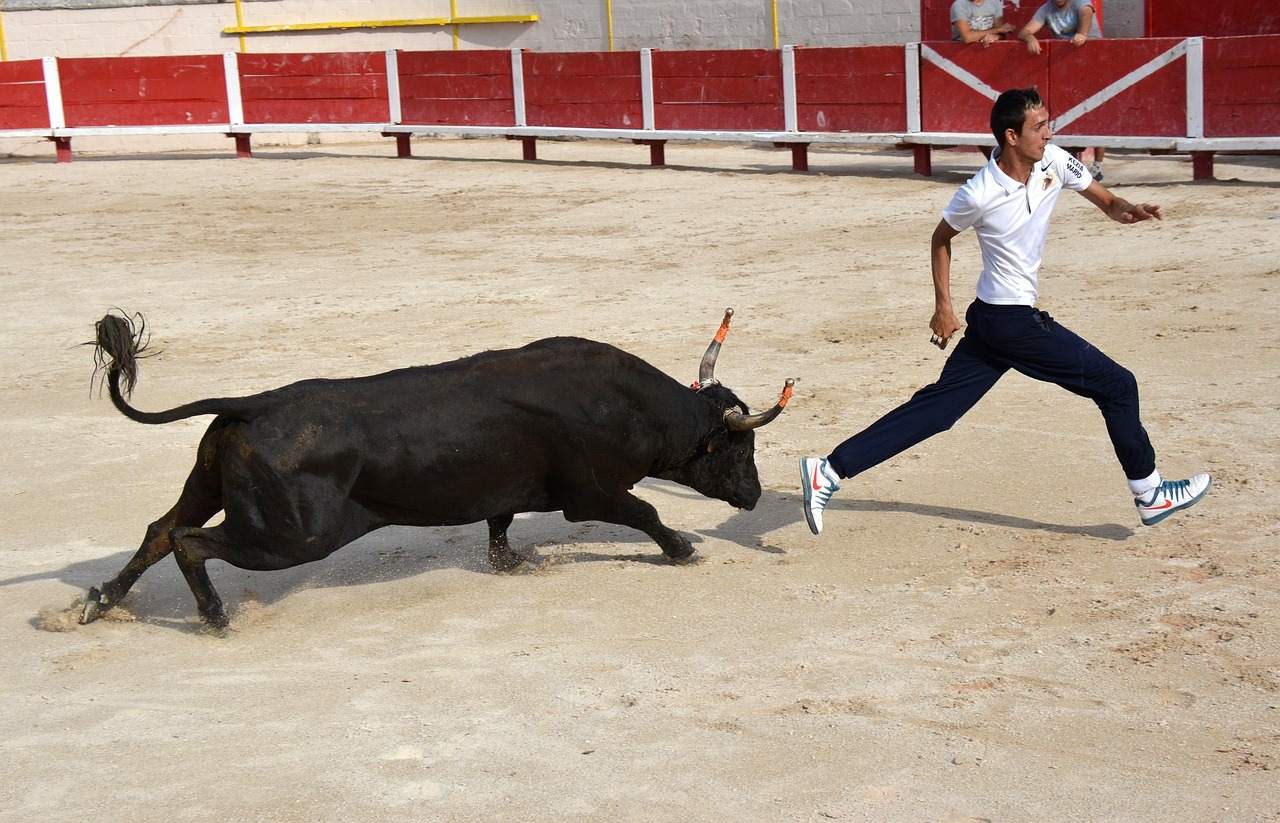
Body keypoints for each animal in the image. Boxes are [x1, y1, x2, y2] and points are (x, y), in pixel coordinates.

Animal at [80, 309, 793, 629]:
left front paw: (510, 563)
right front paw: (682, 550)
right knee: (188, 540)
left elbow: (500, 521)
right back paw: (215, 617)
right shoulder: (590, 493)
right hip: (291, 536)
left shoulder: (509, 486)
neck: (631, 404)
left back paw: (100, 601)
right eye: (741, 450)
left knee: (160, 530)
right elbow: (644, 509)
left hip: (209, 487)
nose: (756, 496)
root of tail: (253, 404)